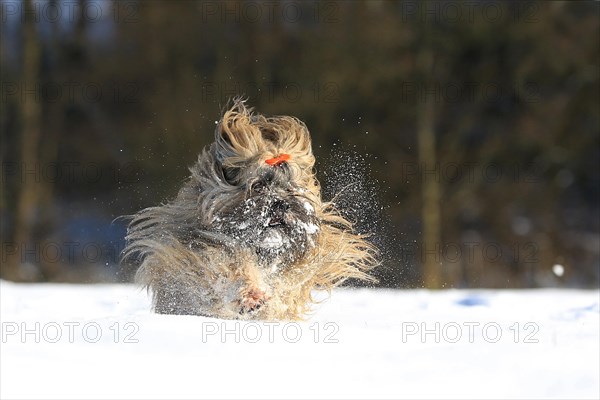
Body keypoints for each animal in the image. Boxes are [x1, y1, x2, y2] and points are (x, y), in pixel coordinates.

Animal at [123, 101, 378, 322]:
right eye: (258, 186)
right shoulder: (196, 251)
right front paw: (251, 296)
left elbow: (287, 287)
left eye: (290, 188)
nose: (281, 205)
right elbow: (228, 266)